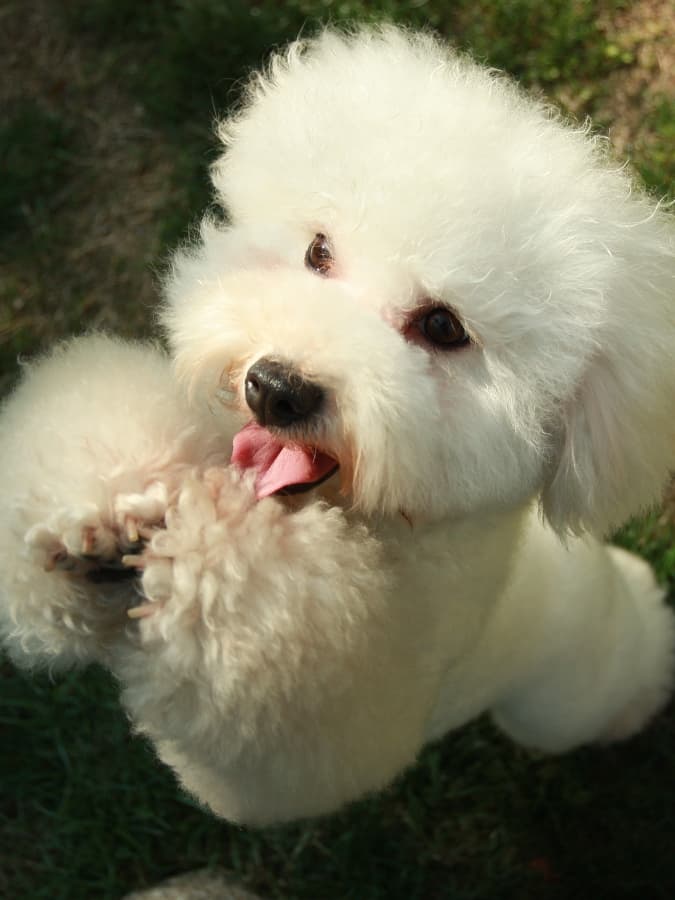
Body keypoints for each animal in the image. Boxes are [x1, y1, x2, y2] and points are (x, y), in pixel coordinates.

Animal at [1, 24, 675, 828]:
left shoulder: (328, 725)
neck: (372, 520)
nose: (273, 388)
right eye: (317, 252)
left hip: (562, 699)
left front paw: (201, 552)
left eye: (443, 327)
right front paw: (97, 520)